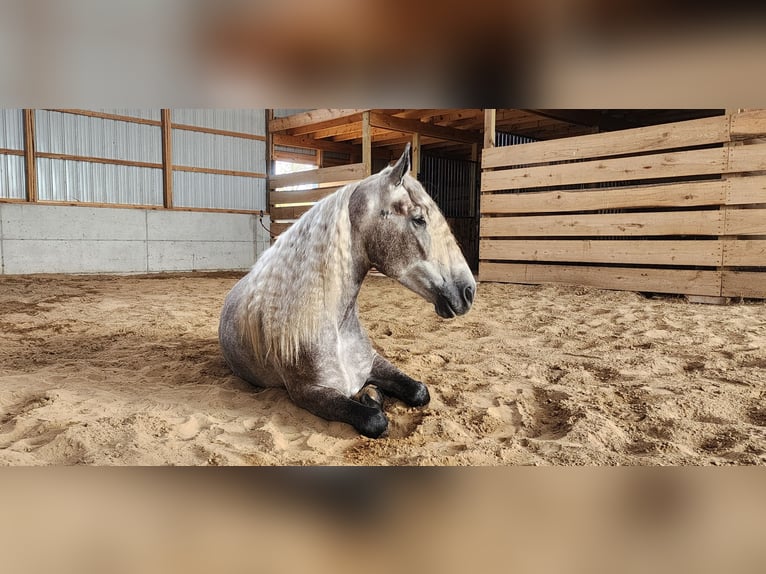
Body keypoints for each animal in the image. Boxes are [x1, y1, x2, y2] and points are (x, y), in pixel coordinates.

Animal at [219, 146, 476, 438]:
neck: (335, 326)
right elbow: (374, 420)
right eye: (419, 219)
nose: (468, 290)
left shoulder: (373, 361)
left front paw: (372, 393)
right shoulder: (308, 392)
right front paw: (370, 399)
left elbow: (419, 391)